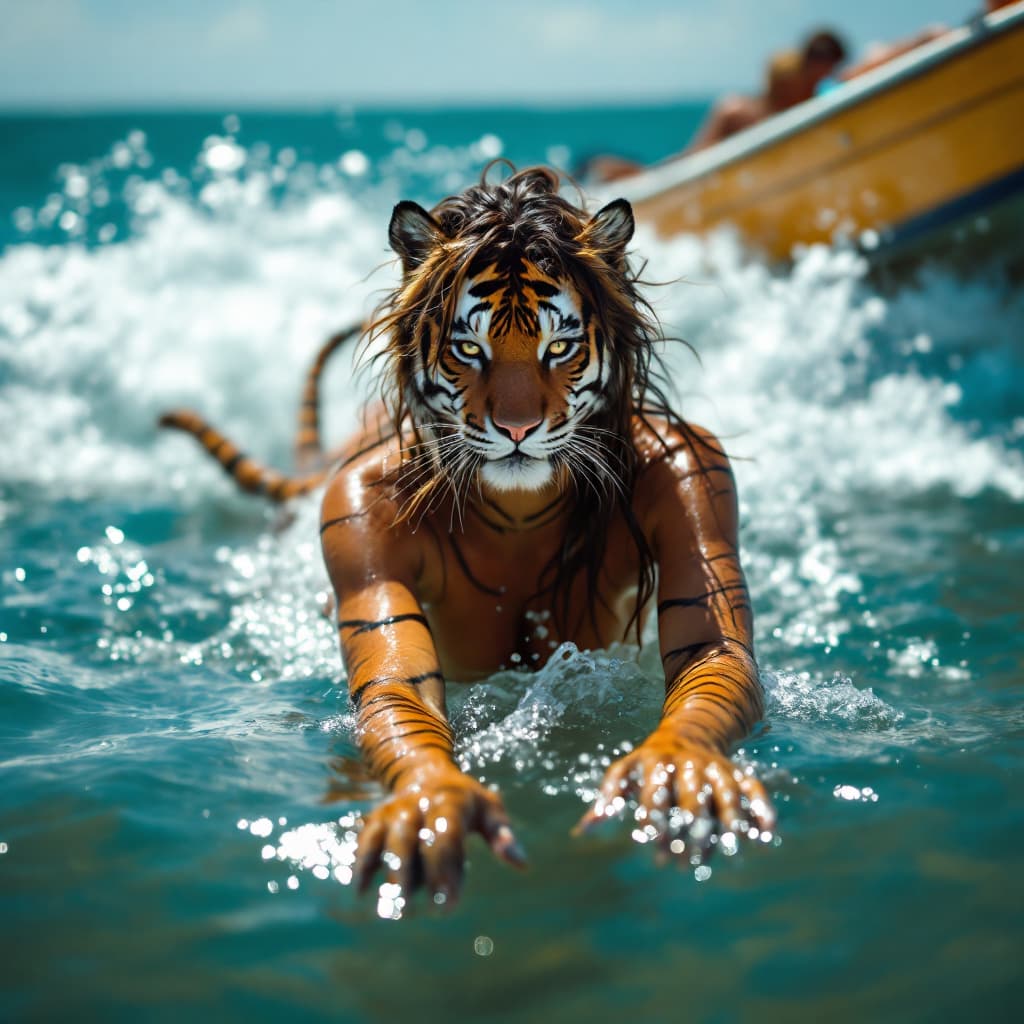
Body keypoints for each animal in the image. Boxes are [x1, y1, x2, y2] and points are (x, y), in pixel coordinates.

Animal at [159, 166, 775, 906]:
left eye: (558, 347)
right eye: (468, 349)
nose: (516, 428)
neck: (519, 504)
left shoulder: (694, 469)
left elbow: (712, 652)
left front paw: (678, 766)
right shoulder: (353, 513)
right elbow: (399, 686)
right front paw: (433, 802)